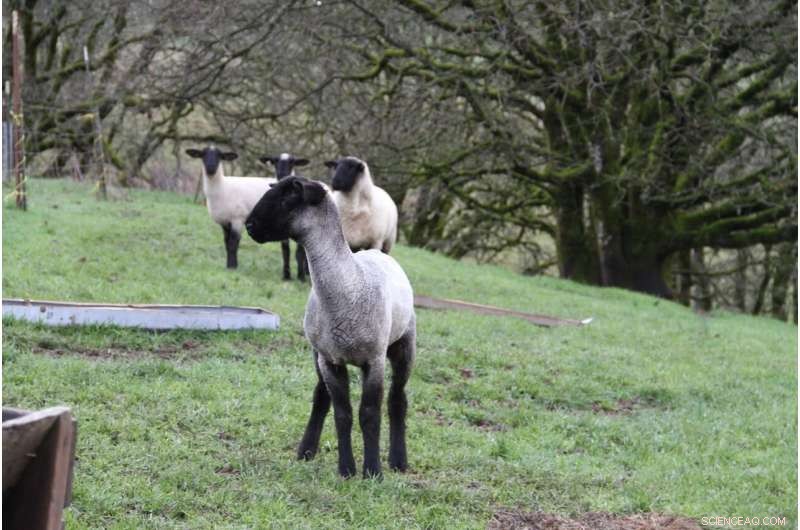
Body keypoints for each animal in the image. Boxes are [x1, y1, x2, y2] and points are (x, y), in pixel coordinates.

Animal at [245, 176, 416, 479]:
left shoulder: (374, 360)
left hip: (404, 343)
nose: (250, 226)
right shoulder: (330, 359)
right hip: (318, 353)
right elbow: (342, 413)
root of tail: (377, 252)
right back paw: (306, 450)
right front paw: (346, 469)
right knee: (320, 397)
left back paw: (398, 460)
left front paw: (372, 470)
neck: (349, 285)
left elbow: (369, 414)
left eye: (287, 198)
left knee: (397, 399)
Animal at [260, 153, 310, 281]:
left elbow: (299, 252)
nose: (282, 175)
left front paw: (301, 276)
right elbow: (285, 249)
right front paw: (286, 275)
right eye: (274, 161)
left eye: (292, 162)